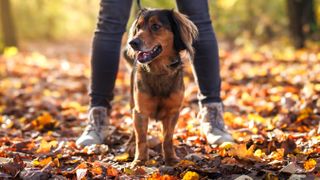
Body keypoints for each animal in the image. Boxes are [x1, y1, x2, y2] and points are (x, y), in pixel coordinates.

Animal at [125, 8, 198, 166]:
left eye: (156, 26)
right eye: (138, 27)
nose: (132, 42)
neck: (159, 70)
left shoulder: (172, 112)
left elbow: (167, 138)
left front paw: (171, 159)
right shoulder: (140, 112)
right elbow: (141, 139)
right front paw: (140, 160)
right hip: (133, 104)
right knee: (134, 131)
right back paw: (130, 144)